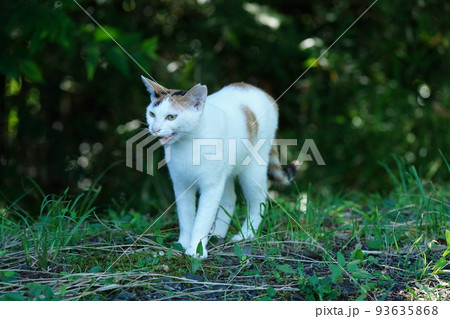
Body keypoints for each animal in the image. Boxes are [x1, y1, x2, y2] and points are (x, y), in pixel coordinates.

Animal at [142, 77, 298, 260]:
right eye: (152, 114)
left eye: (171, 117)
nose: (155, 129)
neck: (189, 143)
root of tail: (261, 92)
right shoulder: (181, 184)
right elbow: (186, 216)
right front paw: (182, 244)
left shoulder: (211, 186)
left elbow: (202, 218)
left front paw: (196, 250)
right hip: (225, 172)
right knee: (230, 199)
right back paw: (218, 233)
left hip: (252, 169)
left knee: (259, 200)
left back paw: (245, 234)